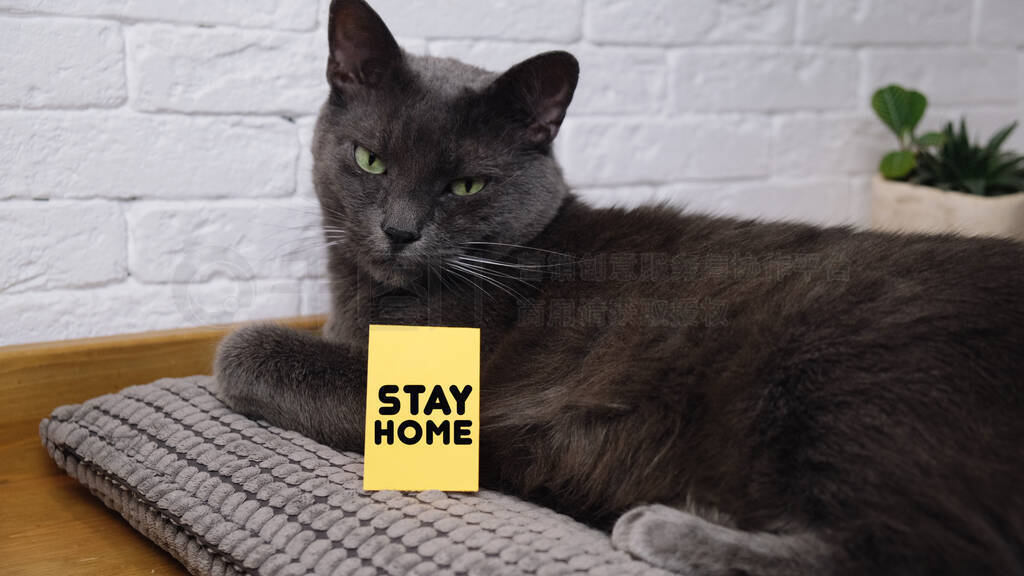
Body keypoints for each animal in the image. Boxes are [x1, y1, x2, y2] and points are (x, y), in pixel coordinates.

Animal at [214, 2, 1024, 569]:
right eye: (370, 160)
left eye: (466, 185)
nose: (401, 231)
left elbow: (237, 349)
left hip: (857, 376)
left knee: (923, 550)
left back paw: (660, 525)